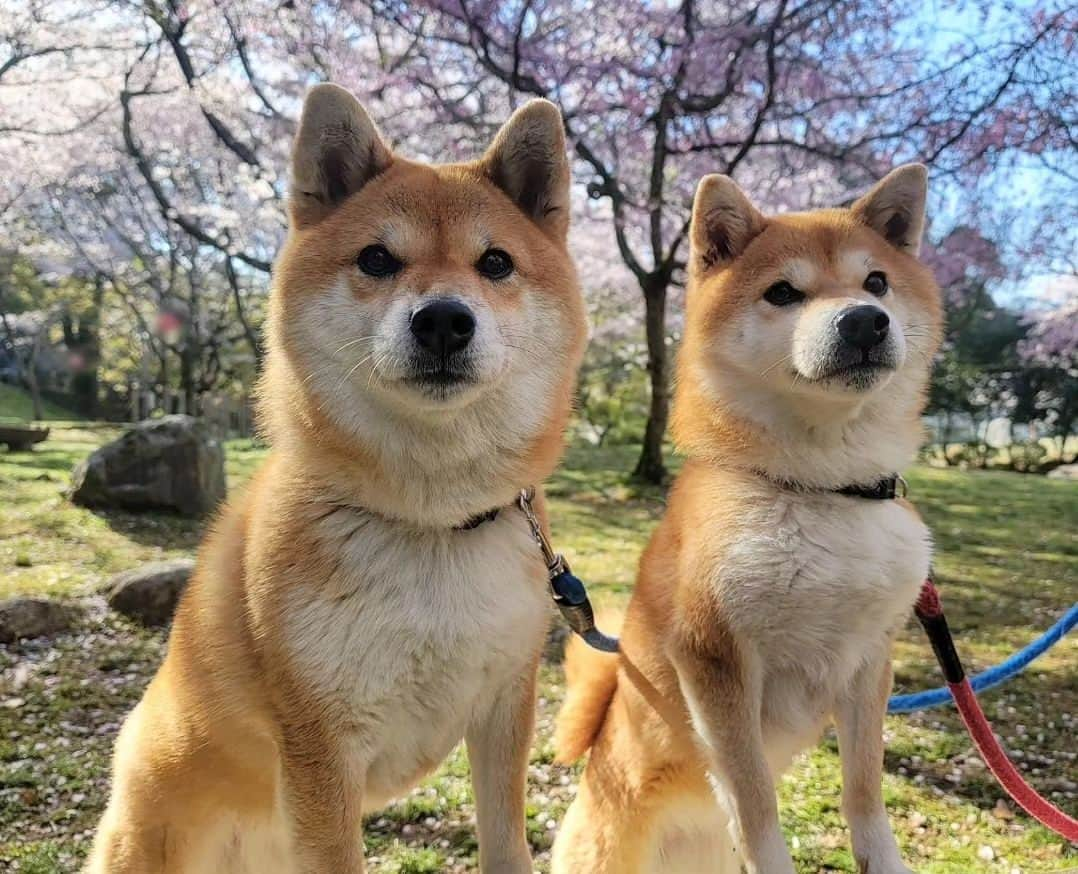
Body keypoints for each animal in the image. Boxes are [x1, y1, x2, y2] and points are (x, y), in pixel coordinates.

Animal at [87, 85, 586, 874]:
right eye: (377, 258)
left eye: (496, 262)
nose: (443, 319)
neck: (431, 523)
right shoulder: (320, 745)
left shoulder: (506, 703)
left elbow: (506, 842)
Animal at [551, 165, 940, 874]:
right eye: (782, 292)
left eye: (877, 282)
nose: (865, 321)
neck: (824, 486)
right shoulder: (715, 659)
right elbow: (755, 799)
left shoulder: (871, 659)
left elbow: (865, 787)